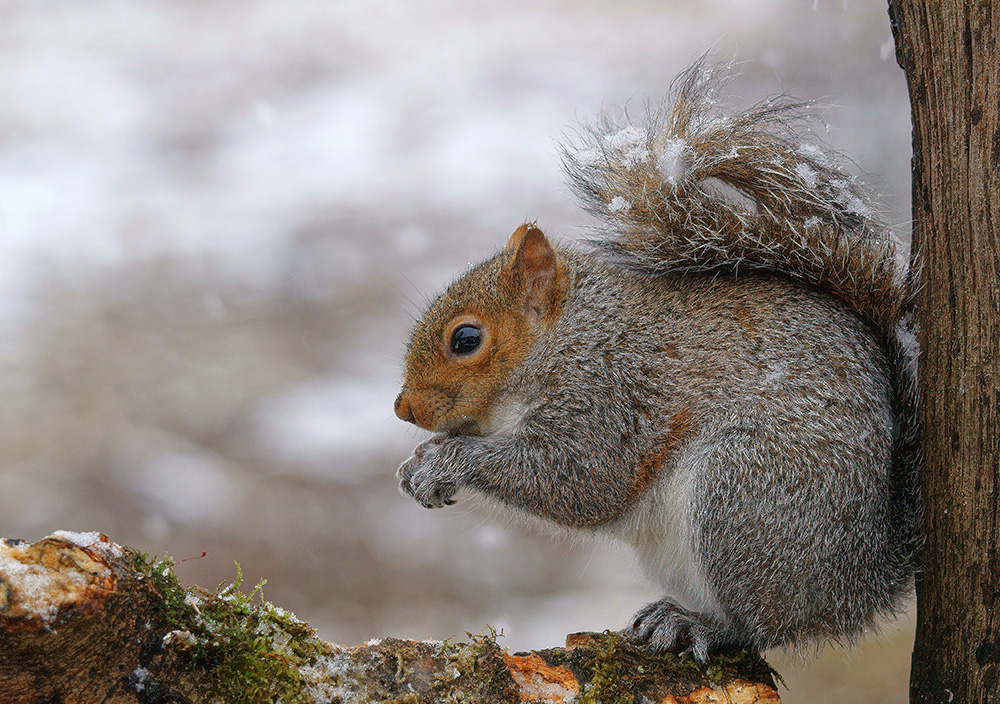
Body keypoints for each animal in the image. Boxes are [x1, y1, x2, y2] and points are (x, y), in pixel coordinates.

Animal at [393, 60, 920, 663]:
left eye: (466, 339)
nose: (403, 408)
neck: (571, 338)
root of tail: (863, 583)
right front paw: (418, 462)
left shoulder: (611, 396)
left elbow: (579, 479)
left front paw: (447, 462)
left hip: (745, 496)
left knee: (766, 626)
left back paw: (703, 625)